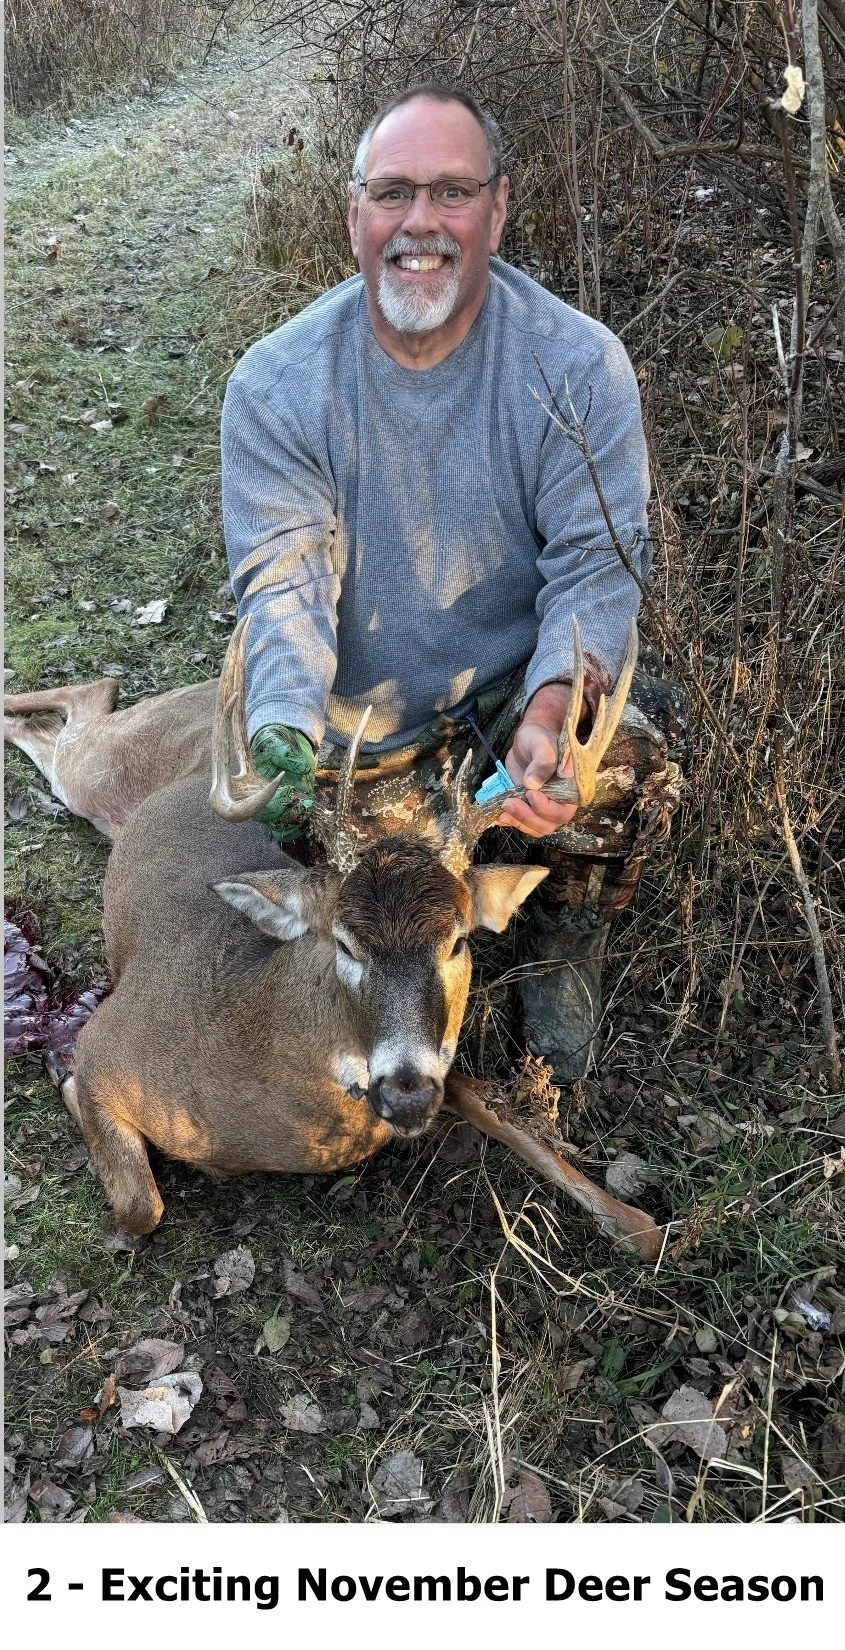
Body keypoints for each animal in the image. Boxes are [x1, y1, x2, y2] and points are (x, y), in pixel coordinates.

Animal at [6, 620, 663, 1260]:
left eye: (457, 942)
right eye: (345, 944)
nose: (406, 1097)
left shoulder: (442, 1070)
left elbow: (511, 1119)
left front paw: (638, 1226)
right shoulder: (107, 1046)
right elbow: (142, 1207)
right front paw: (59, 1071)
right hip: (102, 771)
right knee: (83, 710)